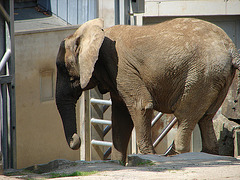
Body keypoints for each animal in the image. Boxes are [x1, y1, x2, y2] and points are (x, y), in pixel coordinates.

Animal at [55, 17, 239, 163]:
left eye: (63, 69)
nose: (77, 139)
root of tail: (231, 48)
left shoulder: (119, 66)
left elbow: (140, 105)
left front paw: (149, 156)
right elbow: (120, 117)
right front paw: (118, 164)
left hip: (201, 76)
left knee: (185, 115)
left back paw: (174, 156)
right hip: (218, 77)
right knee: (206, 117)